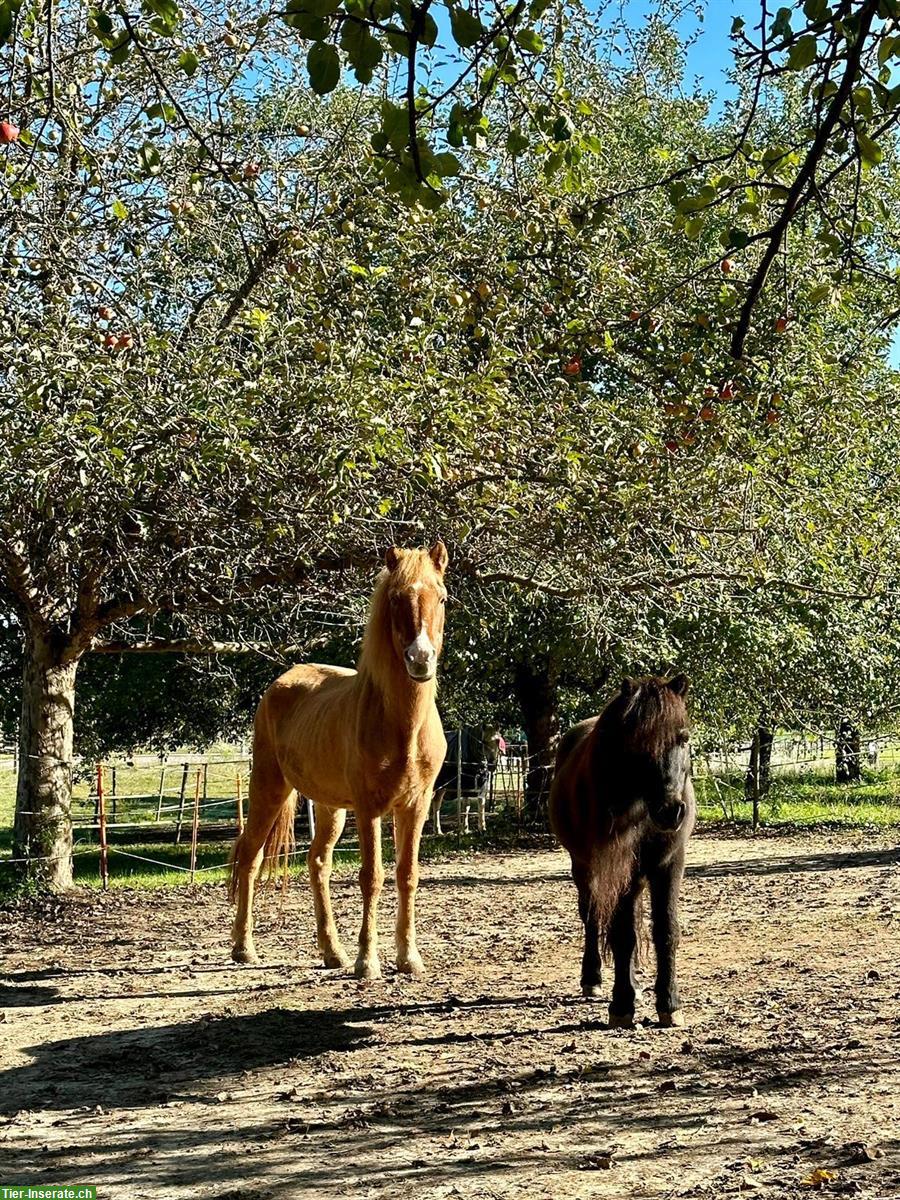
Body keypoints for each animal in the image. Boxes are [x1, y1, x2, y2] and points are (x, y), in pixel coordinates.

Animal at [226, 544, 448, 974]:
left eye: (442, 597)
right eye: (395, 599)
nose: (421, 659)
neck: (403, 728)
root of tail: (281, 683)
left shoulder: (415, 805)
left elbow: (408, 874)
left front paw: (408, 957)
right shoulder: (369, 808)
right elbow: (372, 876)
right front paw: (368, 962)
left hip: (330, 808)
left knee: (317, 864)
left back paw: (332, 952)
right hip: (269, 789)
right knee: (250, 856)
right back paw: (244, 948)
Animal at [549, 676, 696, 1032]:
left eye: (683, 737)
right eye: (637, 742)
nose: (671, 811)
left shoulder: (669, 864)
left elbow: (665, 929)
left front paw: (669, 1004)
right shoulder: (614, 866)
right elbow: (622, 935)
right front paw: (621, 1005)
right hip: (585, 868)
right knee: (592, 916)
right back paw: (593, 979)